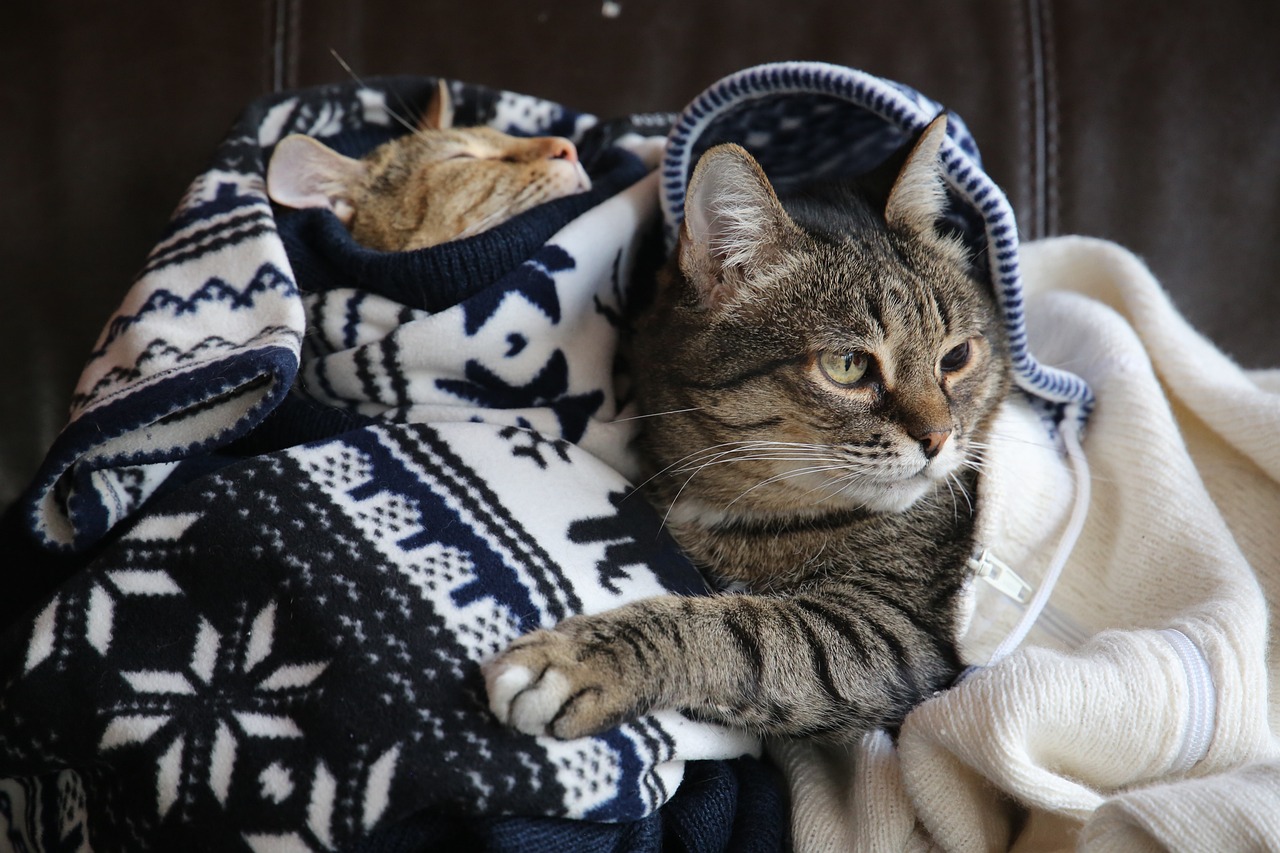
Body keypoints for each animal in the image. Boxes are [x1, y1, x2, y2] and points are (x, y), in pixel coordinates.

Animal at [481, 116, 1008, 742]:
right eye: (847, 365)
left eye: (956, 357)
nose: (938, 438)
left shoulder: (895, 630)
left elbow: (740, 633)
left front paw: (577, 659)